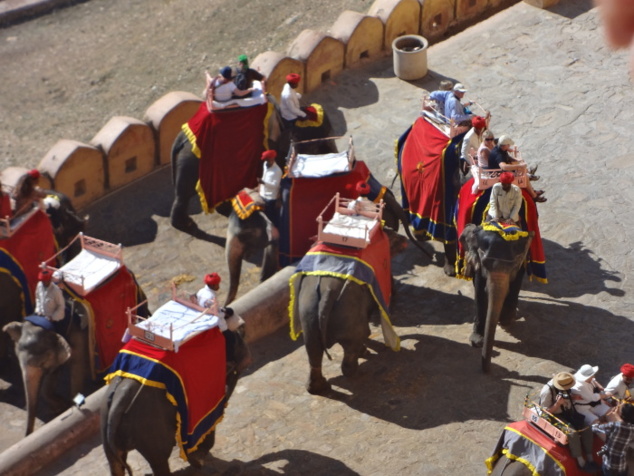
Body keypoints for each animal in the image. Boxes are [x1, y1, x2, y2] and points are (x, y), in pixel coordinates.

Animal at [100, 328, 248, 476]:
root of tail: (118, 399)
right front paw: (200, 457)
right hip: (150, 425)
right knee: (160, 461)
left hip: (107, 423)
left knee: (116, 464)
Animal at [456, 223, 532, 372]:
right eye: (485, 263)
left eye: (512, 265)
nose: (487, 370)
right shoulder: (478, 261)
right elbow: (480, 288)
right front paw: (477, 341)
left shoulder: (521, 259)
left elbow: (516, 281)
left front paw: (505, 320)